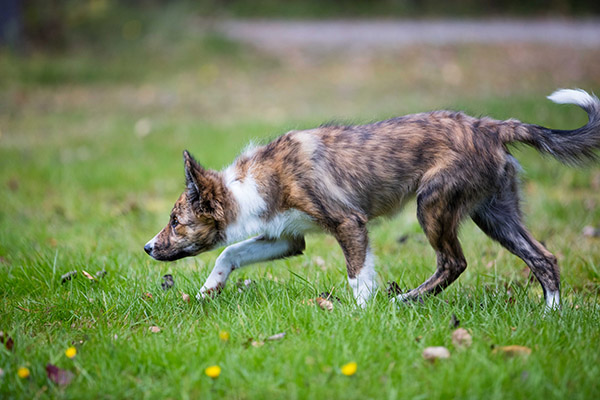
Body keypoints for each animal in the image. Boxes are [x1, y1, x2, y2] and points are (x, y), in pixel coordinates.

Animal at [144, 89, 600, 310]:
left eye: (175, 221)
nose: (147, 248)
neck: (254, 181)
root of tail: (490, 126)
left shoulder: (349, 223)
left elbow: (358, 276)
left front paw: (361, 316)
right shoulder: (288, 237)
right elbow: (230, 253)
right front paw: (210, 289)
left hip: (433, 204)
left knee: (453, 262)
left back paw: (406, 300)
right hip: (495, 214)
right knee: (544, 258)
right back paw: (552, 314)